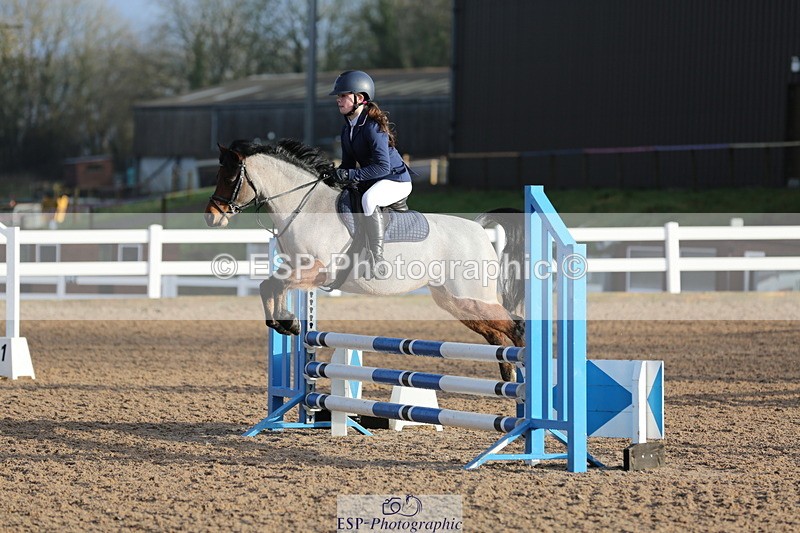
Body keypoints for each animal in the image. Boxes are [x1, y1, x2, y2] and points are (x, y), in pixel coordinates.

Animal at [205, 139, 525, 381]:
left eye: (230, 178)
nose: (212, 216)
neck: (305, 207)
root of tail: (478, 228)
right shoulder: (296, 269)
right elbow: (268, 286)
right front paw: (288, 323)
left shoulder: (319, 270)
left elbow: (276, 285)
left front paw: (288, 322)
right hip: (455, 301)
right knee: (497, 335)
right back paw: (509, 375)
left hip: (472, 297)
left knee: (515, 326)